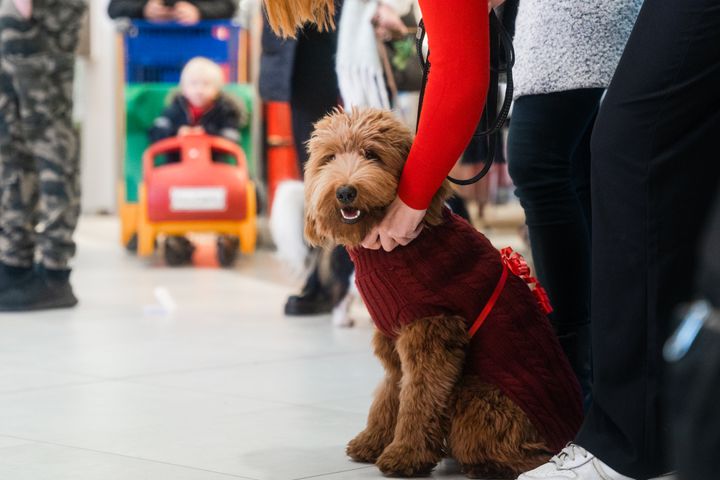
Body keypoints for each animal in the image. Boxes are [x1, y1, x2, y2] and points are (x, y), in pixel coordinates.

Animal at [304, 109, 584, 480]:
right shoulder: (393, 334)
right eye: (330, 158)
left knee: (521, 454)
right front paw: (373, 440)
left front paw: (405, 454)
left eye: (372, 155)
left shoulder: (432, 333)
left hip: (478, 397)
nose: (345, 192)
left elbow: (419, 398)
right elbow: (391, 390)